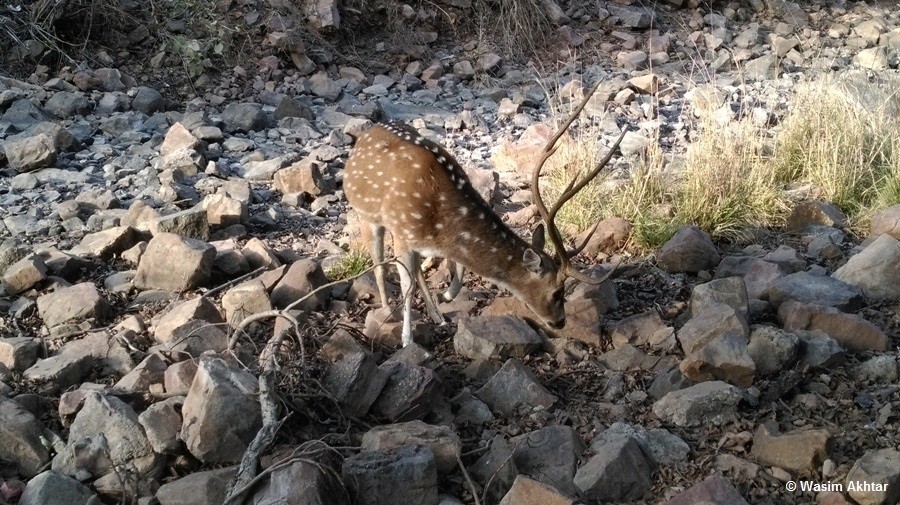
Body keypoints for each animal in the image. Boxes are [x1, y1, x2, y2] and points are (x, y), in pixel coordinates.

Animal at [343, 80, 627, 347]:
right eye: (557, 291)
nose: (560, 322)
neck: (440, 219)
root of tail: (366, 135)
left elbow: (455, 269)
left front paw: (446, 296)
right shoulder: (402, 232)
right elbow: (407, 284)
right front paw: (407, 340)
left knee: (415, 271)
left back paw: (438, 316)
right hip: (366, 215)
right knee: (379, 266)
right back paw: (388, 312)